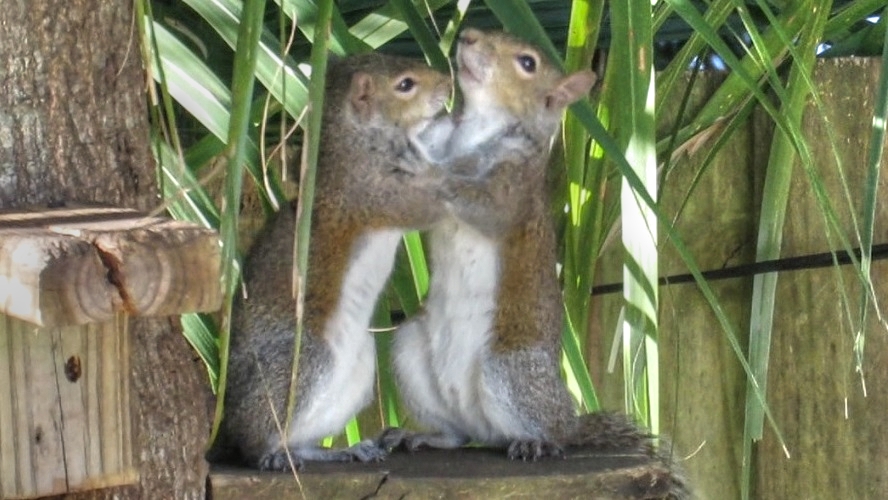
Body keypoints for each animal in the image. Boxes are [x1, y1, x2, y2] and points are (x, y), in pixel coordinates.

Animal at [213, 53, 452, 471]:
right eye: (405, 85)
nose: (449, 84)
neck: (357, 142)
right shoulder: (370, 193)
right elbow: (428, 202)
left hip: (358, 368)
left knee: (302, 440)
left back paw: (341, 450)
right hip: (305, 360)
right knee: (259, 439)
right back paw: (271, 454)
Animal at [382, 27, 680, 474]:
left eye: (527, 63)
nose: (467, 35)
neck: (476, 128)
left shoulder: (515, 191)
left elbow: (483, 204)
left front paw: (430, 171)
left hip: (509, 367)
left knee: (551, 434)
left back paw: (535, 441)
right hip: (410, 351)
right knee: (457, 435)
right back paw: (423, 435)